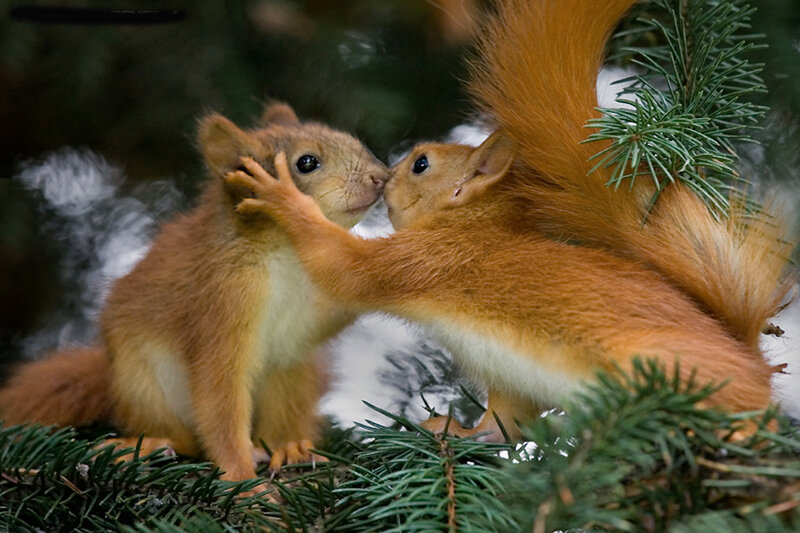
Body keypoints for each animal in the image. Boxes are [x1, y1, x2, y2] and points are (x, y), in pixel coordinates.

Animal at [0, 103, 388, 486]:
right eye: (306, 162)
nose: (381, 177)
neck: (288, 253)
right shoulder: (221, 300)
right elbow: (220, 397)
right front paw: (243, 482)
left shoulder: (313, 307)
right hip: (143, 382)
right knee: (185, 438)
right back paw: (151, 444)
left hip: (294, 370)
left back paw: (288, 446)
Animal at [223, 0, 795, 442]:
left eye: (421, 164)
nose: (383, 176)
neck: (472, 225)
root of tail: (749, 359)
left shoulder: (424, 259)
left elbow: (345, 268)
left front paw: (282, 197)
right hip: (513, 379)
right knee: (503, 427)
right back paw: (457, 432)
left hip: (667, 368)